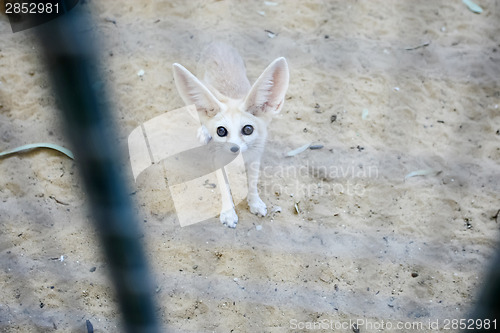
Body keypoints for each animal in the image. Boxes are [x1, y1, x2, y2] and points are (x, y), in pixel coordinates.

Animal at [172, 41, 290, 227]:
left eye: (248, 129)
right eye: (221, 131)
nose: (234, 149)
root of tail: (218, 43)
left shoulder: (255, 158)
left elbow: (253, 183)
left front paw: (255, 202)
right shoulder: (219, 161)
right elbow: (225, 188)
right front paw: (228, 212)